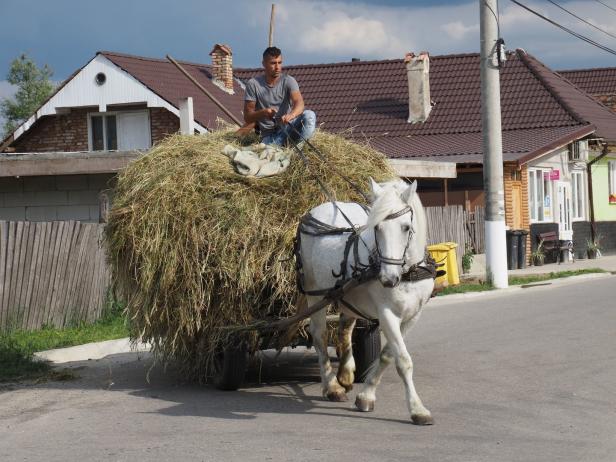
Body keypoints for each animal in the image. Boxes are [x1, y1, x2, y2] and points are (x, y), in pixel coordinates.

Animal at [298, 178, 434, 426]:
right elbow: (403, 360)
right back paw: (332, 386)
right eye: (377, 228)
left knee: (344, 329)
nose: (388, 279)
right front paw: (417, 409)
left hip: (347, 298)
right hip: (315, 293)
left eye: (406, 227)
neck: (407, 274)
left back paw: (345, 374)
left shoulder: (412, 316)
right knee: (320, 335)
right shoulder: (387, 314)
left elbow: (388, 355)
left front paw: (366, 395)